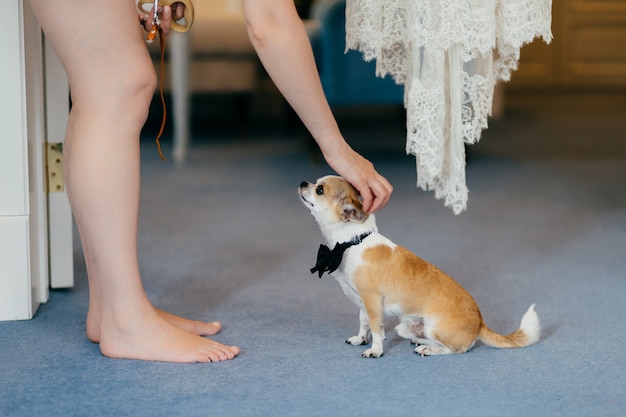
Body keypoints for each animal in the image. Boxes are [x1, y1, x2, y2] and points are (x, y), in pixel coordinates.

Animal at [296, 174, 536, 356]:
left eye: (319, 190)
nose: (303, 182)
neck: (350, 242)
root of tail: (480, 323)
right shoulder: (363, 303)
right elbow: (363, 322)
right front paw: (360, 338)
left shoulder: (372, 301)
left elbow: (377, 329)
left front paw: (375, 350)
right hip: (407, 327)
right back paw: (421, 343)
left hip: (434, 327)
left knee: (455, 349)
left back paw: (429, 350)